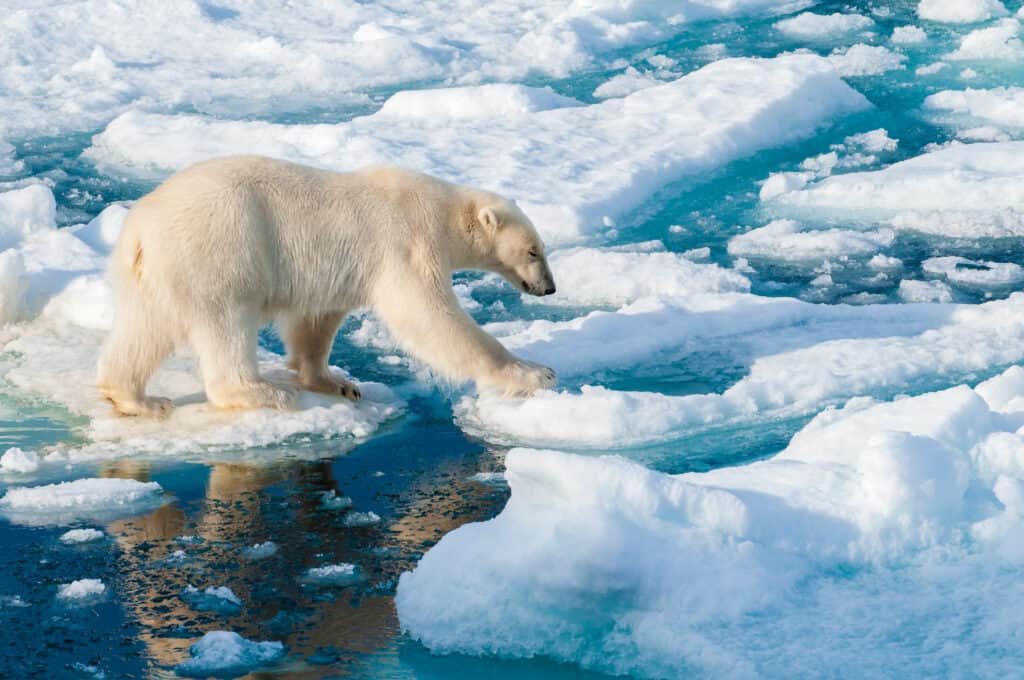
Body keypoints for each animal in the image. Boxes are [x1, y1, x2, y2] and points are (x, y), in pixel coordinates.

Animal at [96, 156, 557, 417]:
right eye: (534, 251)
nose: (549, 289)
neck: (444, 212)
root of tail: (139, 230)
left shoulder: (338, 271)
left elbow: (315, 322)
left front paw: (337, 383)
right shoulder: (407, 242)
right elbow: (429, 316)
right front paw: (535, 373)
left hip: (155, 273)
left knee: (145, 329)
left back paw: (137, 399)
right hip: (218, 250)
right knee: (226, 323)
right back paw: (264, 393)